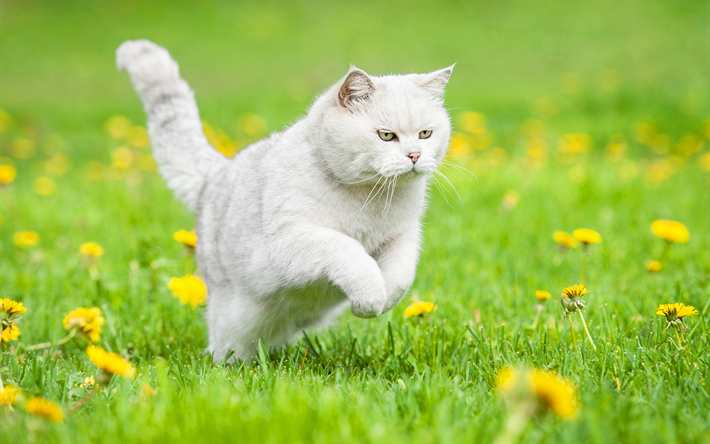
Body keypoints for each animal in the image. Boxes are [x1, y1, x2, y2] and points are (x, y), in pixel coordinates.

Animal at [114, 40, 454, 360]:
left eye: (425, 134)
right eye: (386, 136)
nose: (414, 156)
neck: (372, 197)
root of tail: (217, 172)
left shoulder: (403, 237)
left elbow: (401, 276)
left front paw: (379, 303)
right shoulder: (291, 241)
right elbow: (348, 251)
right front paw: (370, 299)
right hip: (231, 324)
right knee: (223, 351)